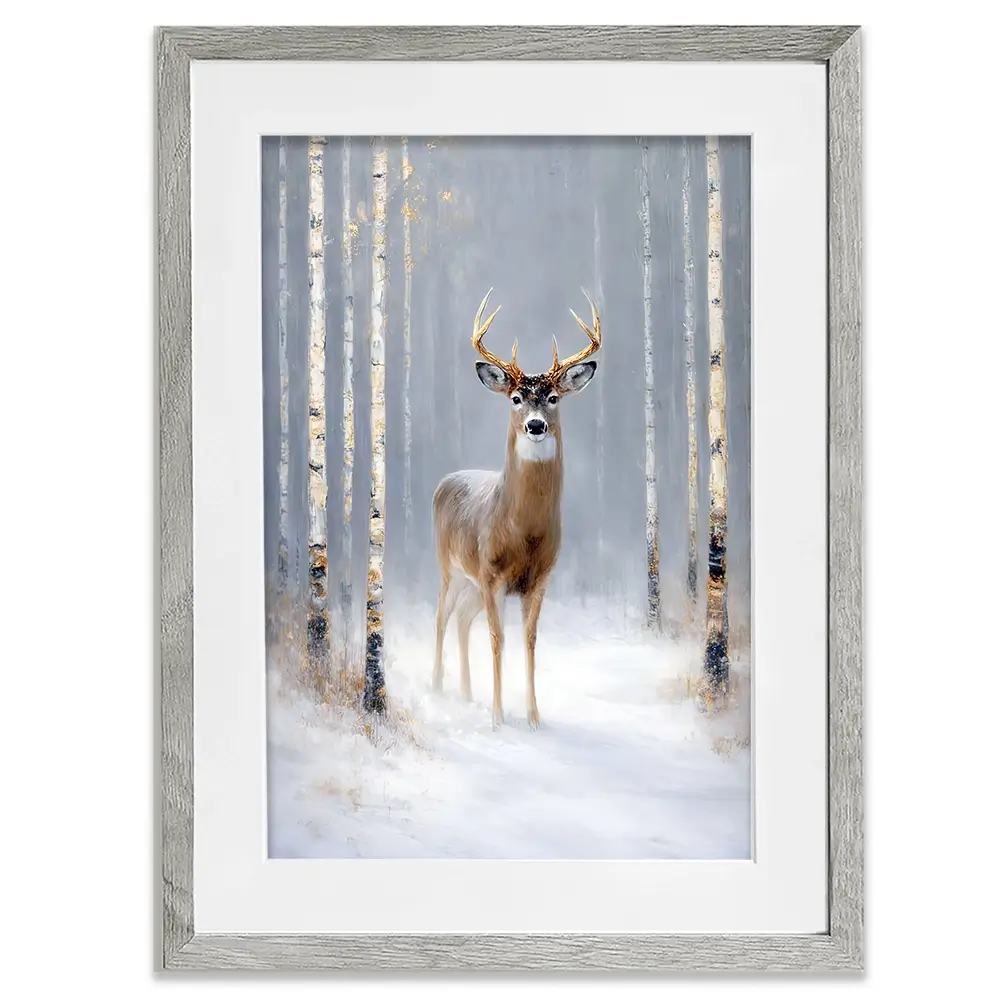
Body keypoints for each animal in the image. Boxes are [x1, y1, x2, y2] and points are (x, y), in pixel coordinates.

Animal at [431, 287, 602, 729]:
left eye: (554, 397)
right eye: (516, 398)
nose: (536, 425)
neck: (523, 532)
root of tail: (444, 480)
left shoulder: (538, 579)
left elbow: (529, 640)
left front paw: (533, 717)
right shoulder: (491, 575)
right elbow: (497, 638)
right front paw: (497, 717)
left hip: (472, 583)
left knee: (461, 619)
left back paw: (467, 693)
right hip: (450, 567)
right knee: (442, 616)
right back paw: (437, 686)